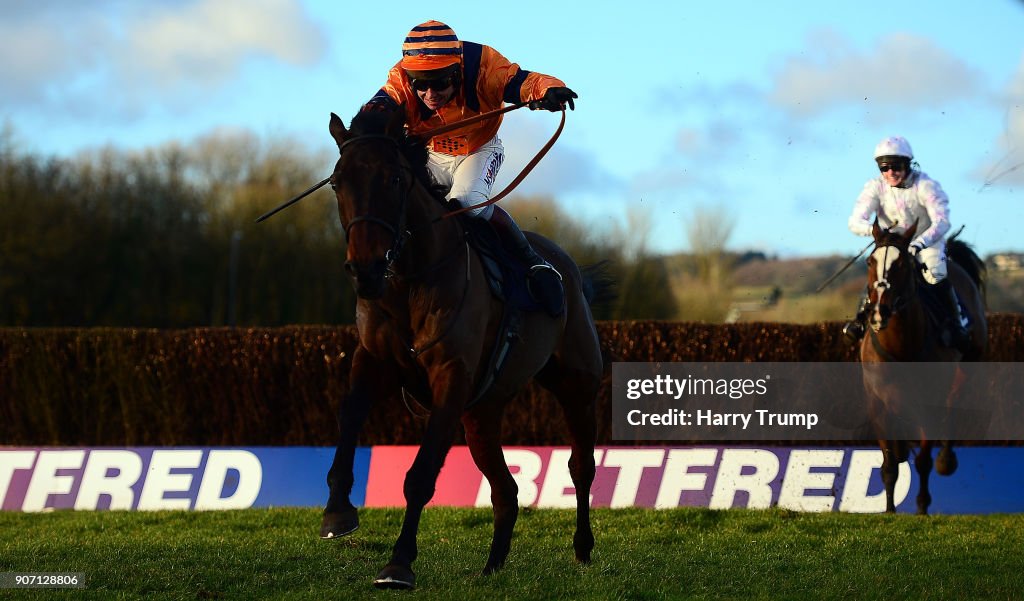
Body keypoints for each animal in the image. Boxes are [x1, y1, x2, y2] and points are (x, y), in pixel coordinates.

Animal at [321, 105, 606, 589]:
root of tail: (569, 269)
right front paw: (338, 511)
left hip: (576, 385)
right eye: (339, 182)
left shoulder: (451, 376)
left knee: (581, 466)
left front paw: (399, 563)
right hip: (482, 413)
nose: (365, 269)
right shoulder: (373, 358)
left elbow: (421, 474)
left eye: (394, 179)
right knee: (506, 489)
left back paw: (584, 548)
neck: (410, 279)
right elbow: (350, 414)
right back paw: (492, 565)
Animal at [860, 219, 987, 516]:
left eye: (901, 264)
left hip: (968, 365)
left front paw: (921, 507)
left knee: (954, 405)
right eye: (870, 261)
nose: (879, 311)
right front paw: (889, 510)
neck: (900, 347)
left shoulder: (929, 400)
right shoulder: (878, 404)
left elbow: (923, 460)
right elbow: (889, 464)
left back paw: (946, 460)